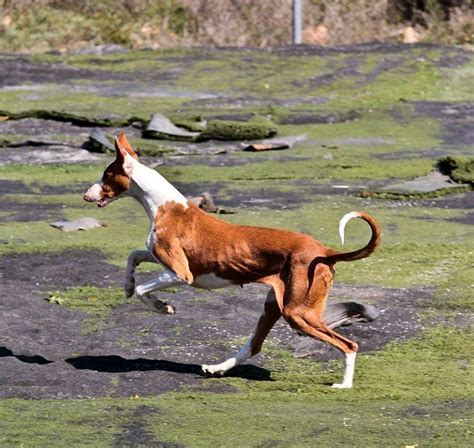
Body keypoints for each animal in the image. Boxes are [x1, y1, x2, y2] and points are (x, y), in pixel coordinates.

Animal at [84, 131, 382, 386]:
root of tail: (324, 252)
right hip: (275, 306)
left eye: (105, 175)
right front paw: (127, 284)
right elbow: (133, 256)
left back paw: (344, 384)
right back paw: (217, 368)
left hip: (298, 312)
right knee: (254, 345)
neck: (165, 206)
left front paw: (162, 306)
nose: (86, 195)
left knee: (349, 345)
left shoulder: (181, 273)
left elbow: (144, 289)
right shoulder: (161, 259)